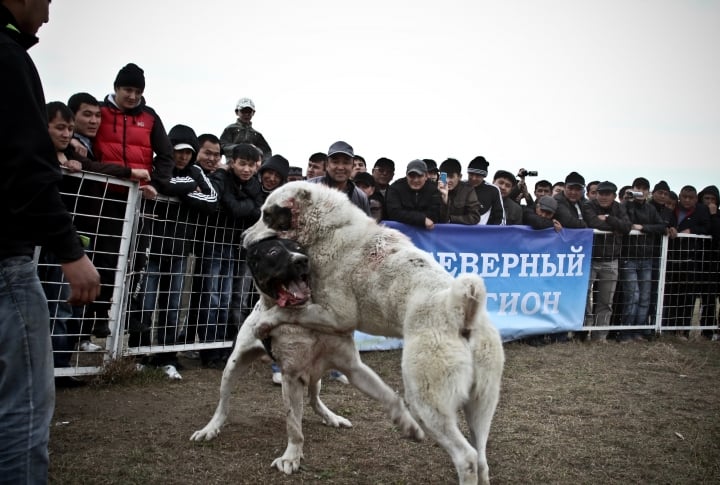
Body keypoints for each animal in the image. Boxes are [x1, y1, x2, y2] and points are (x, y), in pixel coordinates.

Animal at [245, 182, 504, 484]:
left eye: (268, 215)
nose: (243, 237)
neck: (327, 228)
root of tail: (462, 309)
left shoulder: (335, 315)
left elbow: (288, 311)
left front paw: (264, 322)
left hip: (426, 402)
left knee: (467, 457)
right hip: (481, 405)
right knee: (482, 458)